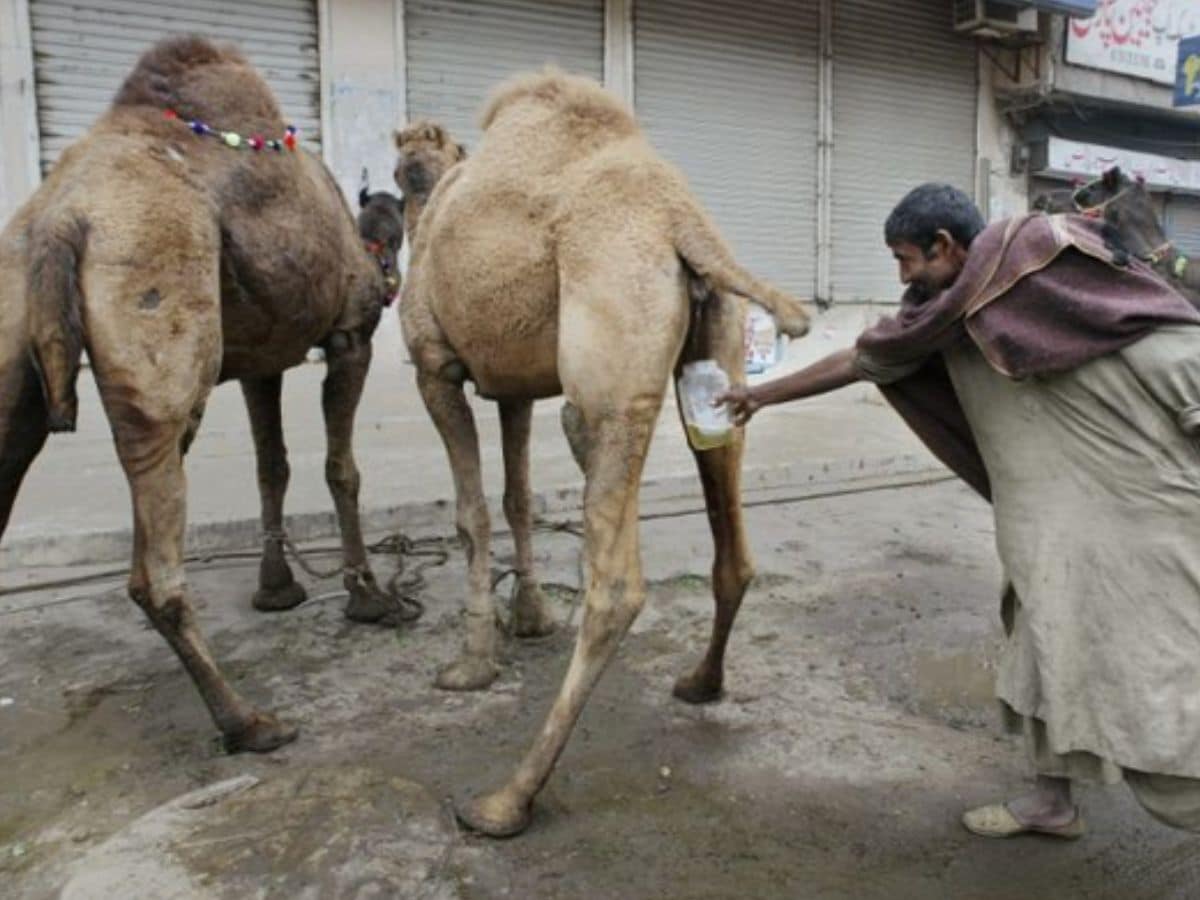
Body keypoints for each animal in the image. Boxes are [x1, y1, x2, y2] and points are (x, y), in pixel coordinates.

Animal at [0, 37, 407, 753]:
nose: (393, 283)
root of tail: (58, 218)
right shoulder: (349, 337)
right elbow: (342, 470)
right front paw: (369, 598)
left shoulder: (260, 363)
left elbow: (271, 467)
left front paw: (277, 590)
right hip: (159, 318)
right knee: (154, 566)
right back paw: (247, 721)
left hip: (10, 340)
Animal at [399, 70, 811, 836]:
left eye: (403, 171)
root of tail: (681, 220)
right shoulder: (513, 385)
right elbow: (517, 497)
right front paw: (530, 620)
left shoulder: (435, 366)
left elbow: (471, 513)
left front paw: (471, 665)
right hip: (715, 348)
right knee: (730, 536)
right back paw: (700, 683)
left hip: (606, 367)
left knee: (616, 584)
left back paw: (507, 797)